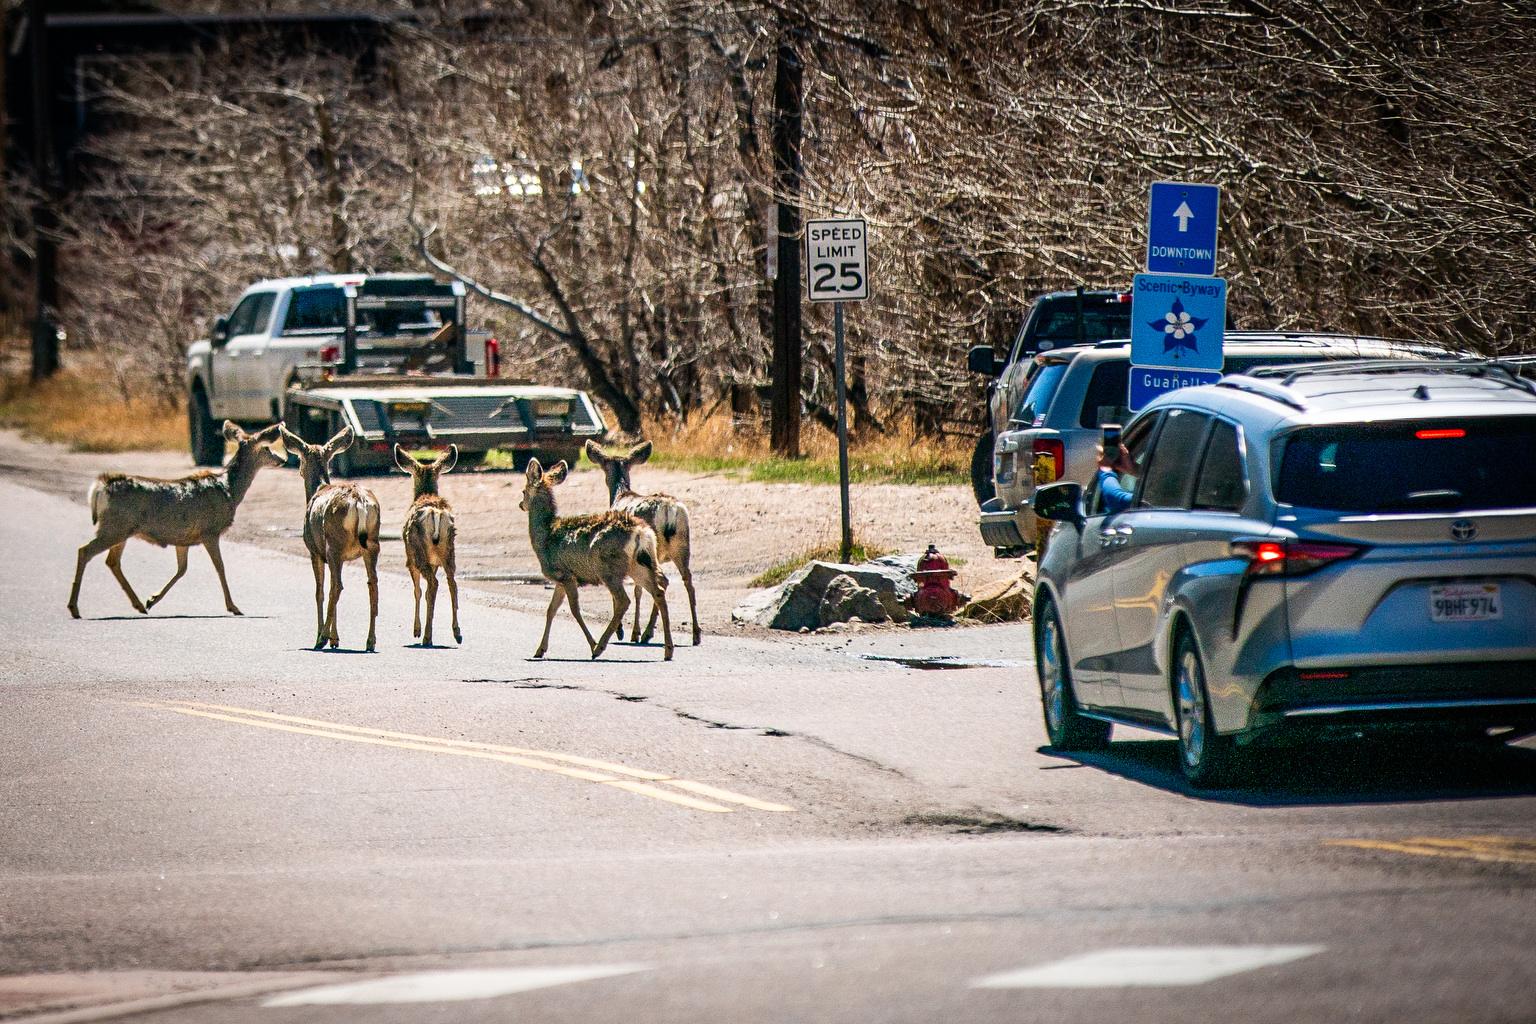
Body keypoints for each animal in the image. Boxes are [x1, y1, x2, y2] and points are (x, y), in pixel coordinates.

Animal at [68, 422, 285, 619]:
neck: (229, 490)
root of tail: (100, 487)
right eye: (267, 447)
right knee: (85, 551)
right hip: (115, 527)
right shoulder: (210, 531)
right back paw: (74, 608)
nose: (282, 459)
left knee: (112, 561)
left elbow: (182, 569)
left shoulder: (183, 539)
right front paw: (233, 607)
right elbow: (220, 567)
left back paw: (139, 605)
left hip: (121, 529)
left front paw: (152, 599)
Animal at [278, 424, 382, 652]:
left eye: (300, 458)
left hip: (334, 543)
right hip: (371, 543)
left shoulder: (314, 551)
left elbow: (320, 591)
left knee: (337, 586)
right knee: (371, 583)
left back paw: (321, 639)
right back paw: (370, 641)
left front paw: (327, 637)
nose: (298, 469)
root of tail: (359, 501)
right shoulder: (341, 556)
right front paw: (336, 639)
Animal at [394, 444, 462, 647]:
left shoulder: (409, 560)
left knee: (433, 583)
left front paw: (416, 631)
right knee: (452, 583)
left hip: (417, 551)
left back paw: (426, 636)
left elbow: (417, 591)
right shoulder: (435, 562)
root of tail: (436, 513)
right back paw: (457, 633)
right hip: (449, 549)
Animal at [519, 457, 674, 661]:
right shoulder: (561, 579)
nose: (520, 504)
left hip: (608, 568)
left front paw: (591, 644)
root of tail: (642, 533)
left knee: (624, 600)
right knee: (658, 591)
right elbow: (551, 610)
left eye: (523, 490)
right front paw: (540, 650)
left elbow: (574, 610)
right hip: (639, 566)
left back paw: (600, 647)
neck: (546, 535)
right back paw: (668, 650)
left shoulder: (565, 575)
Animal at [584, 439, 700, 647]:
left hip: (652, 548)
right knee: (687, 580)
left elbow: (635, 590)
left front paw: (626, 631)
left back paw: (646, 633)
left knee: (662, 582)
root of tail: (669, 511)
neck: (620, 495)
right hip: (682, 544)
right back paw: (696, 634)